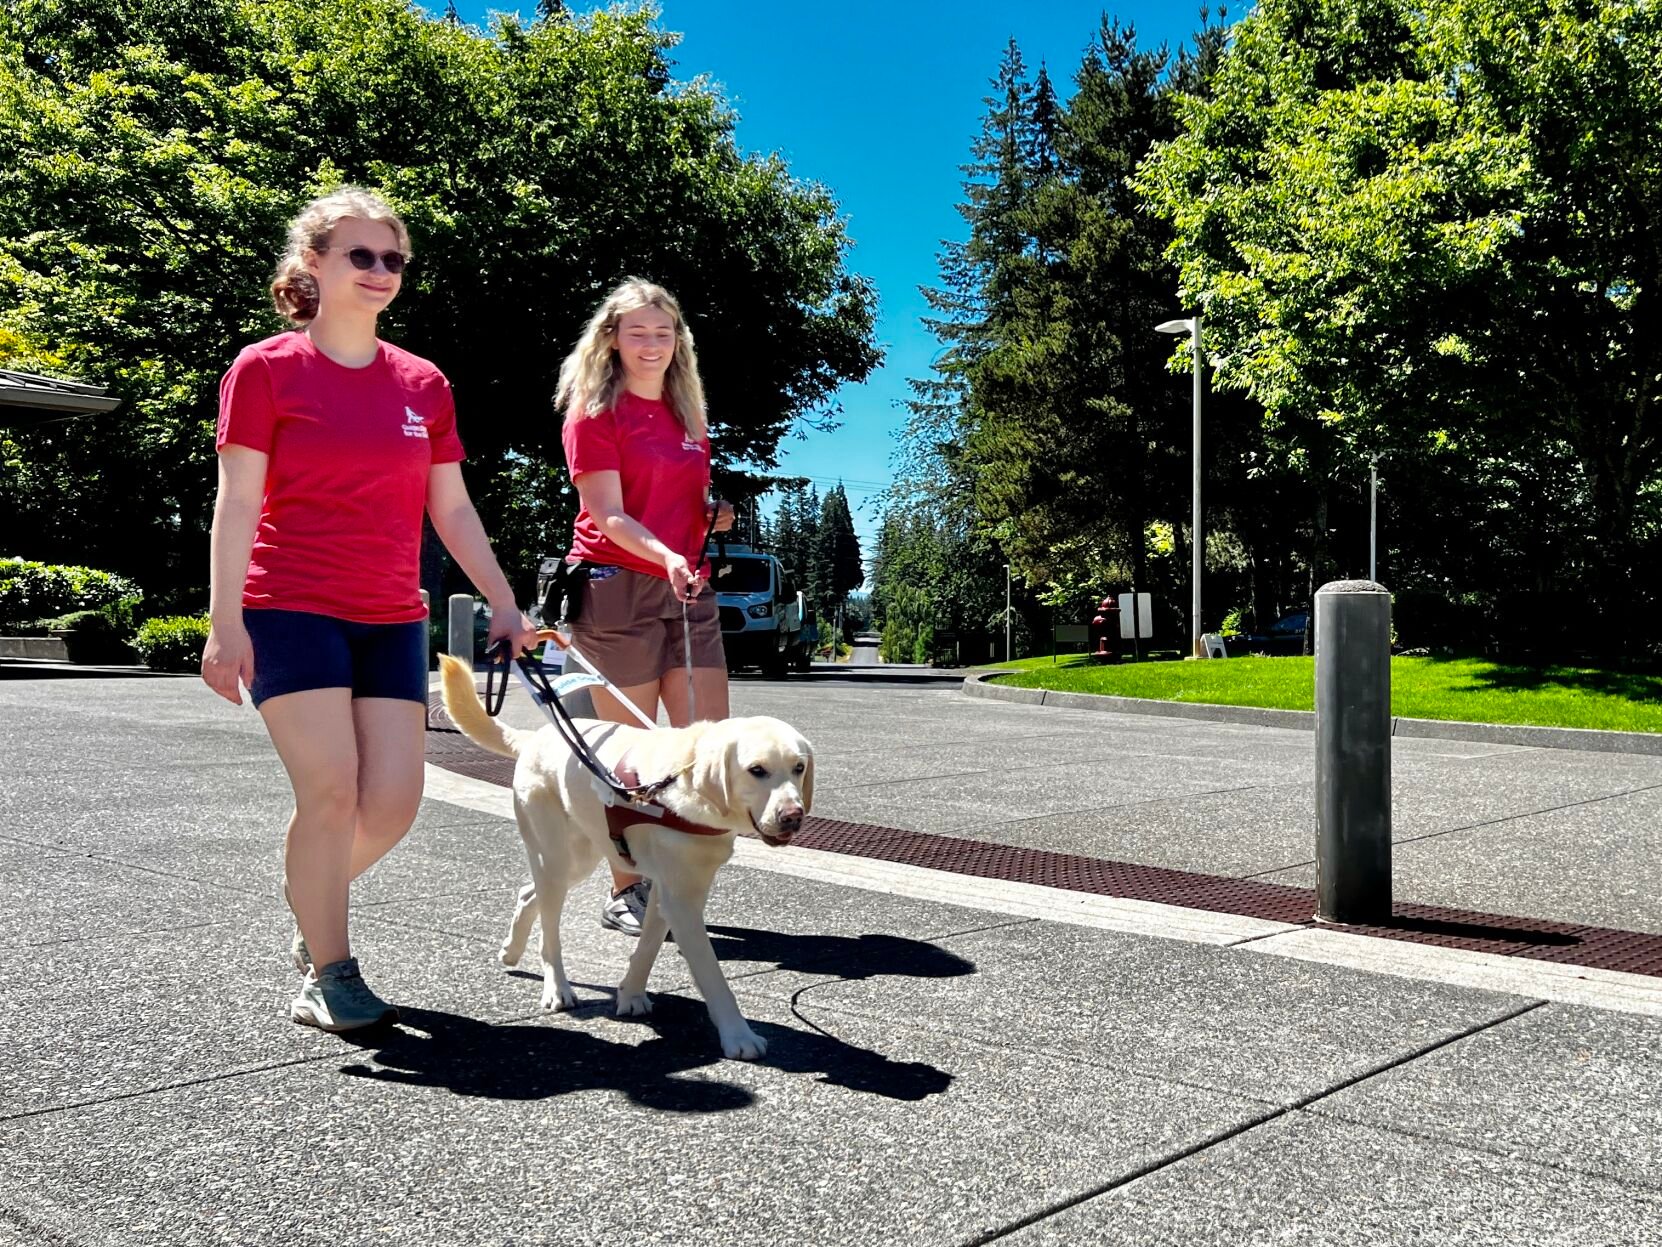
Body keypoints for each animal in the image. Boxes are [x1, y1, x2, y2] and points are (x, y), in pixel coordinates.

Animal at [435, 658, 811, 1057]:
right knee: (549, 931)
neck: (688, 786)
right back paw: (557, 988)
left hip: (579, 857)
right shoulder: (682, 902)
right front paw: (738, 1035)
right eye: (757, 770)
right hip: (555, 857)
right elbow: (712, 975)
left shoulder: (668, 892)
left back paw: (511, 950)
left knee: (528, 893)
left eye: (799, 768)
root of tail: (536, 737)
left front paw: (630, 993)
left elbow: (647, 948)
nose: (793, 816)